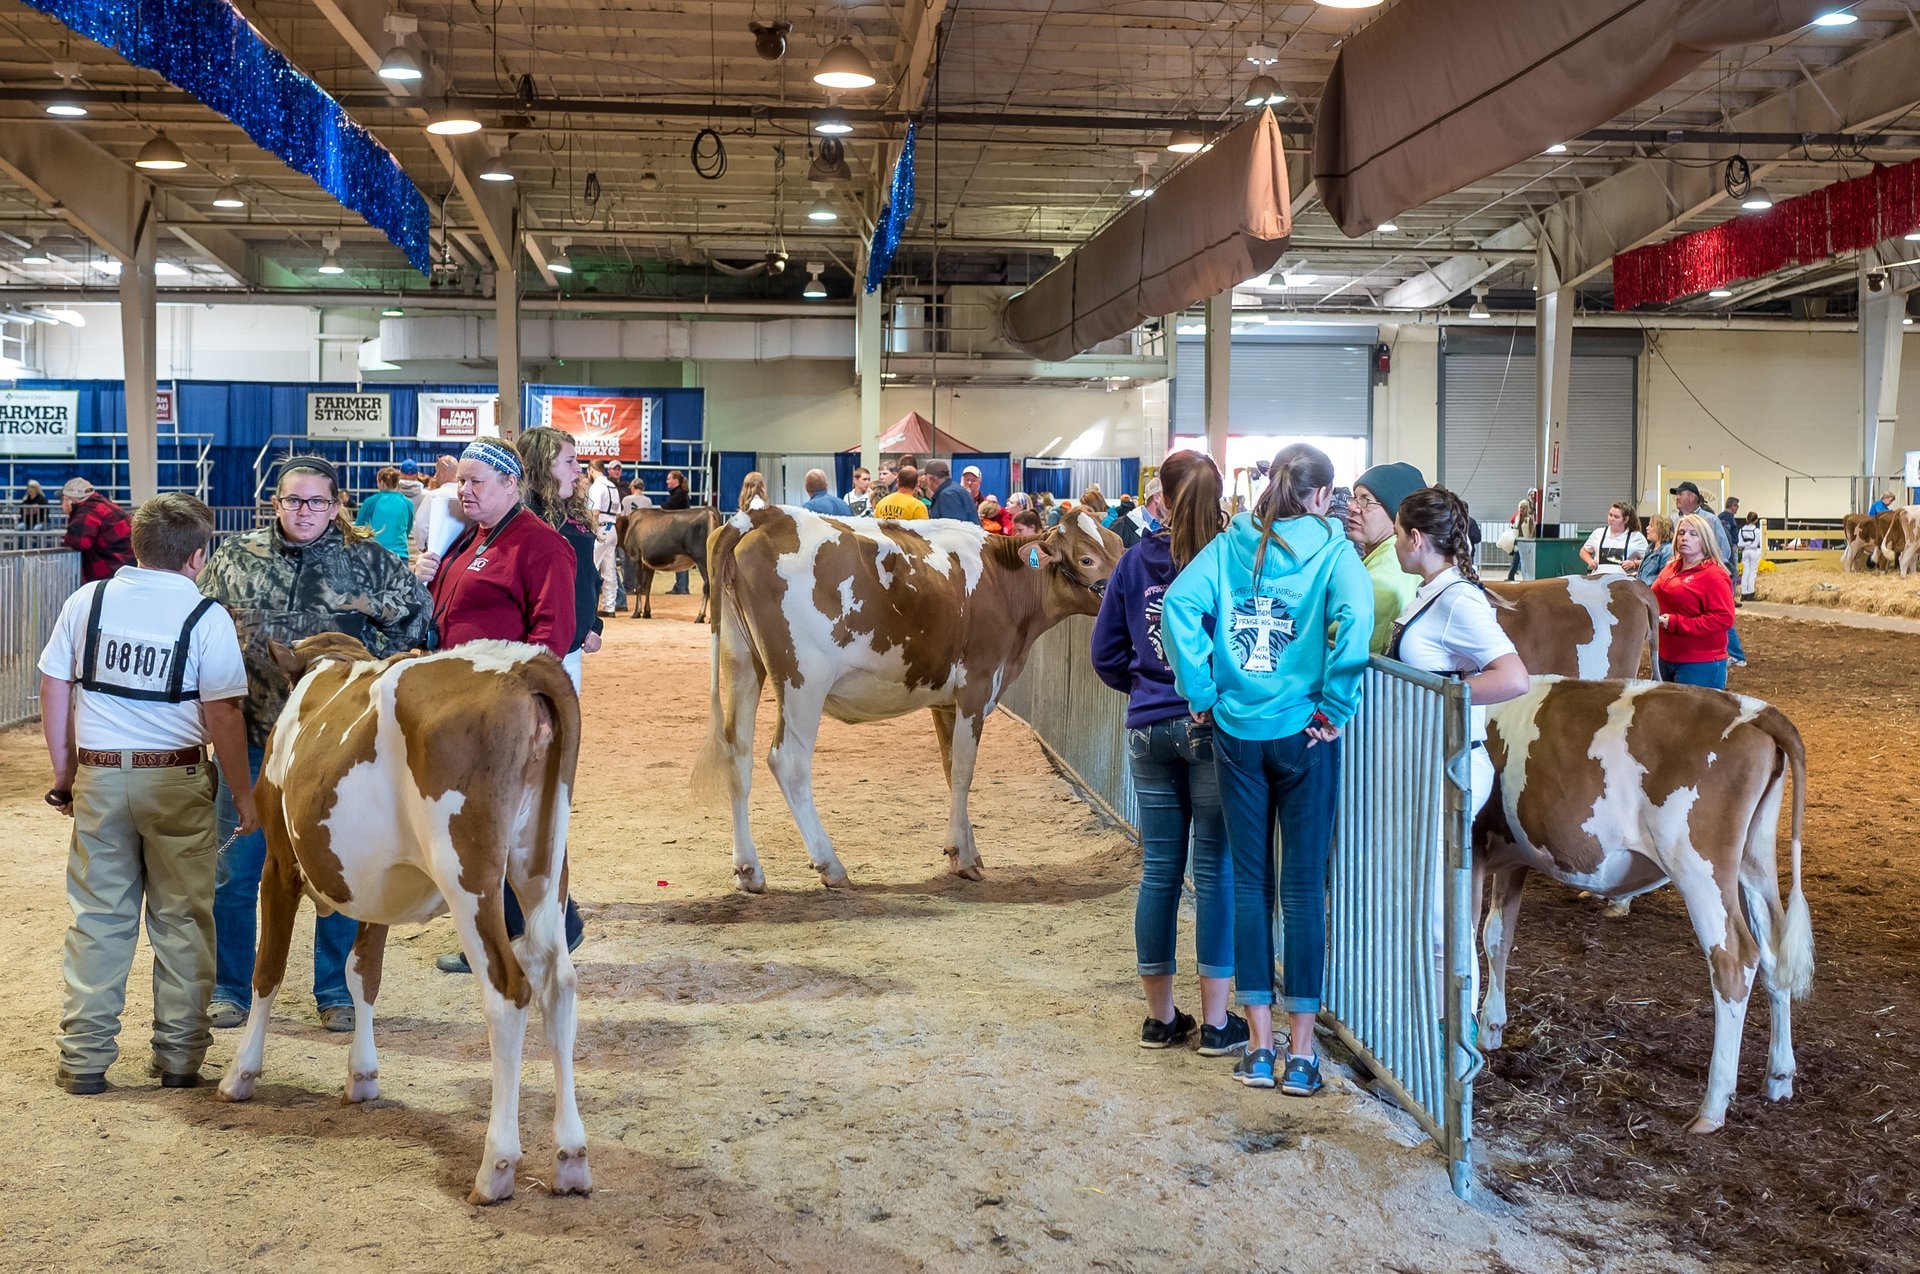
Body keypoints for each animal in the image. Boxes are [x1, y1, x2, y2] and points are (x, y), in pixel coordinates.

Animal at [215, 633, 587, 1212]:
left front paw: (240, 1074)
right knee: (559, 985)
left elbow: (268, 970)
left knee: (508, 992)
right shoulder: (378, 890)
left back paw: (496, 1167)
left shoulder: (278, 863)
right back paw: (570, 1158)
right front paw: (363, 1075)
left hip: (469, 874)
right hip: (542, 866)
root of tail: (520, 664)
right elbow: (363, 972)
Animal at [695, 502, 1121, 890]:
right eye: (1087, 559)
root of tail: (765, 514)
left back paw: (748, 871)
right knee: (789, 762)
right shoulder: (977, 687)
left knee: (739, 755)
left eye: (1119, 545)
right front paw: (963, 858)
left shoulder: (946, 701)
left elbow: (950, 770)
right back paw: (830, 866)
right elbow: (964, 772)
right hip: (803, 677)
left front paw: (966, 850)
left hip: (742, 662)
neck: (1005, 581)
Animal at [1466, 675, 1812, 1135]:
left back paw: (1713, 1106)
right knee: (1774, 955)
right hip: (1752, 866)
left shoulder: (1473, 849)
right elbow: (1497, 937)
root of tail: (1754, 709)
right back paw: (1779, 1077)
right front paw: (1491, 1028)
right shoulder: (1514, 856)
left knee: (1734, 961)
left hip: (1698, 866)